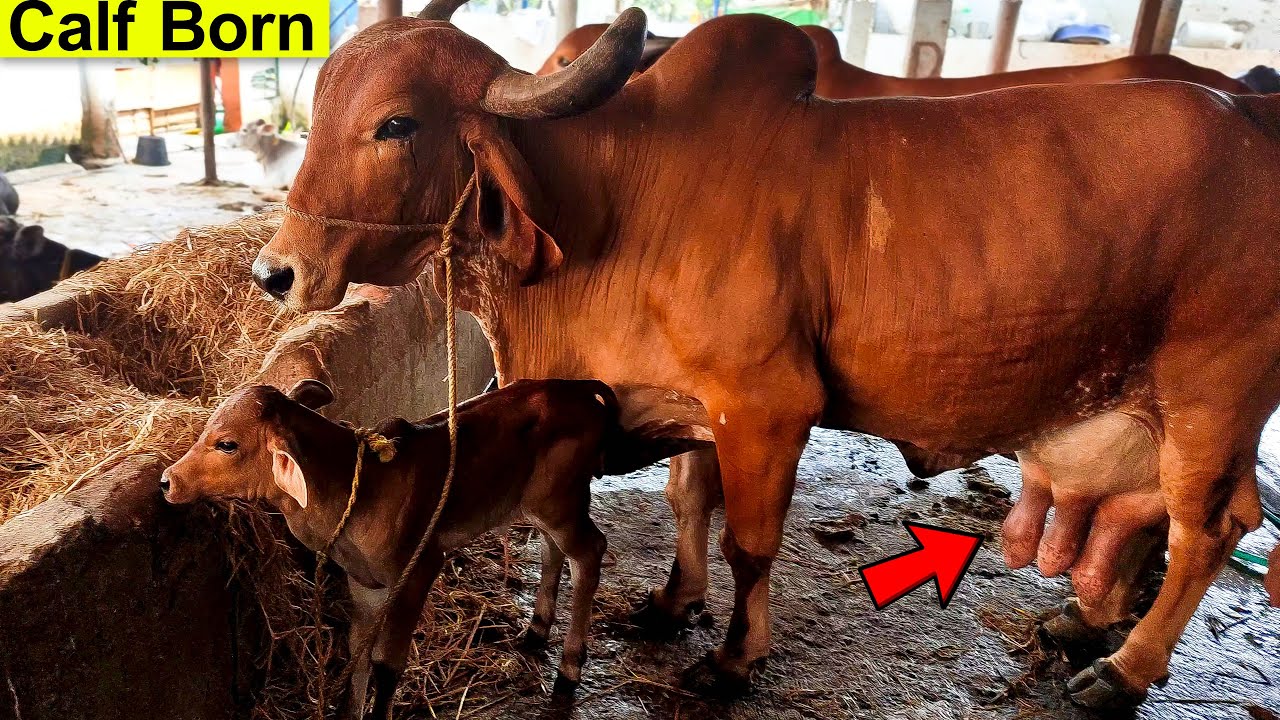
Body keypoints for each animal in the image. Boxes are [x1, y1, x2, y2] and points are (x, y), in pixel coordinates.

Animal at [162, 378, 617, 718]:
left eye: (227, 444)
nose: (168, 480)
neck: (356, 488)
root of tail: (577, 389)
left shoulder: (419, 570)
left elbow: (386, 665)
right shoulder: (365, 584)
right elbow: (358, 652)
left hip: (560, 504)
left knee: (590, 552)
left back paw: (569, 669)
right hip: (543, 508)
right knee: (553, 550)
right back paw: (536, 631)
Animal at [250, 7, 1280, 708]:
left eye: (397, 124)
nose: (275, 270)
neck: (619, 202)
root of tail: (1253, 115)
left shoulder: (767, 406)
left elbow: (748, 542)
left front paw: (736, 655)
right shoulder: (692, 410)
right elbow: (687, 502)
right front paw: (673, 602)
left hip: (1210, 403)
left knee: (1208, 531)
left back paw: (1123, 669)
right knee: (1145, 521)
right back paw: (1079, 623)